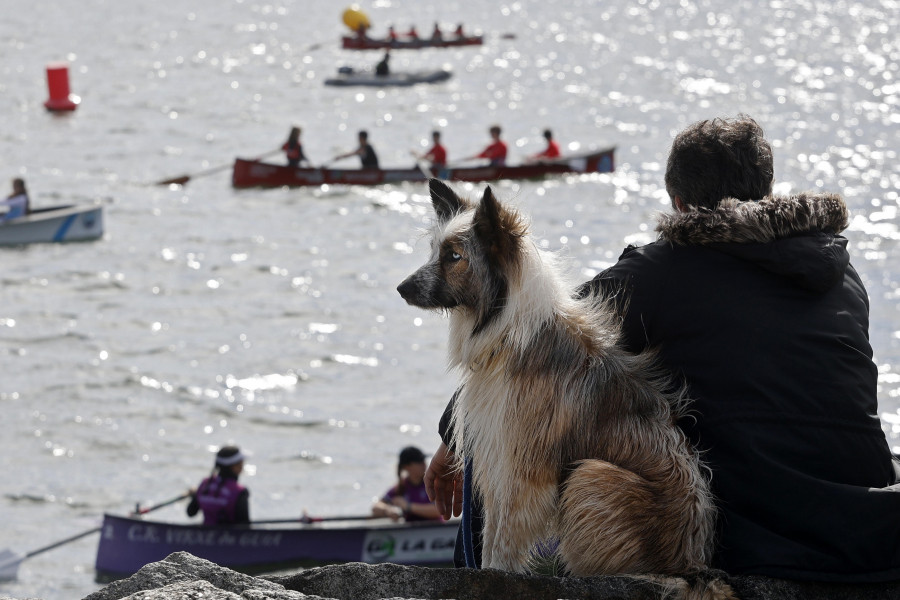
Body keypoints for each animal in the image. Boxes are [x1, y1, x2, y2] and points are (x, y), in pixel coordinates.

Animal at [400, 180, 732, 596]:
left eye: (454, 256)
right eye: (434, 251)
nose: (401, 288)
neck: (508, 333)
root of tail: (692, 567)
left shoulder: (520, 468)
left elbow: (502, 542)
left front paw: (495, 577)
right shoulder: (498, 458)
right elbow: (492, 534)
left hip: (592, 476)